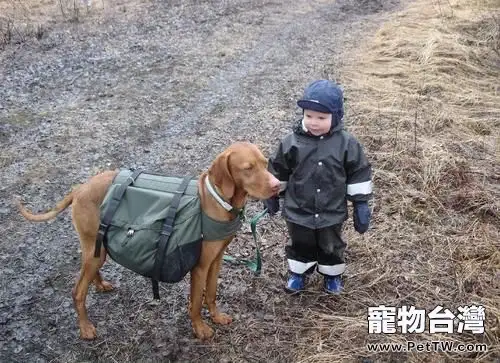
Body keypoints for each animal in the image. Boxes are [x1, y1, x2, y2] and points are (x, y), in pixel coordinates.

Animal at [15, 141, 282, 342]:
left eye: (265, 164)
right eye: (247, 168)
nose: (278, 186)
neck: (217, 200)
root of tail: (79, 189)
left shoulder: (215, 261)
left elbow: (212, 293)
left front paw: (216, 317)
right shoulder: (199, 266)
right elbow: (196, 302)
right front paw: (200, 328)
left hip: (96, 248)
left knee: (89, 273)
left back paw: (99, 285)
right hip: (94, 248)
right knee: (77, 292)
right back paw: (85, 328)